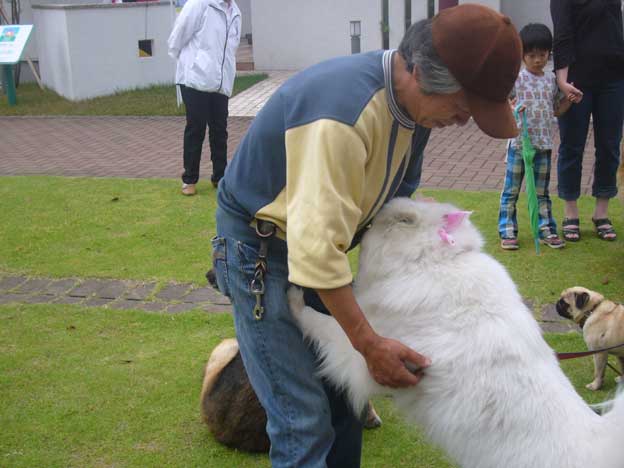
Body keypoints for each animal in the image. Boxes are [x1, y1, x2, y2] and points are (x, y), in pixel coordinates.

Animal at [288, 197, 624, 468]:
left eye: (402, 220)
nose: (371, 218)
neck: (432, 263)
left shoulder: (362, 353)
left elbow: (319, 323)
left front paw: (292, 298)